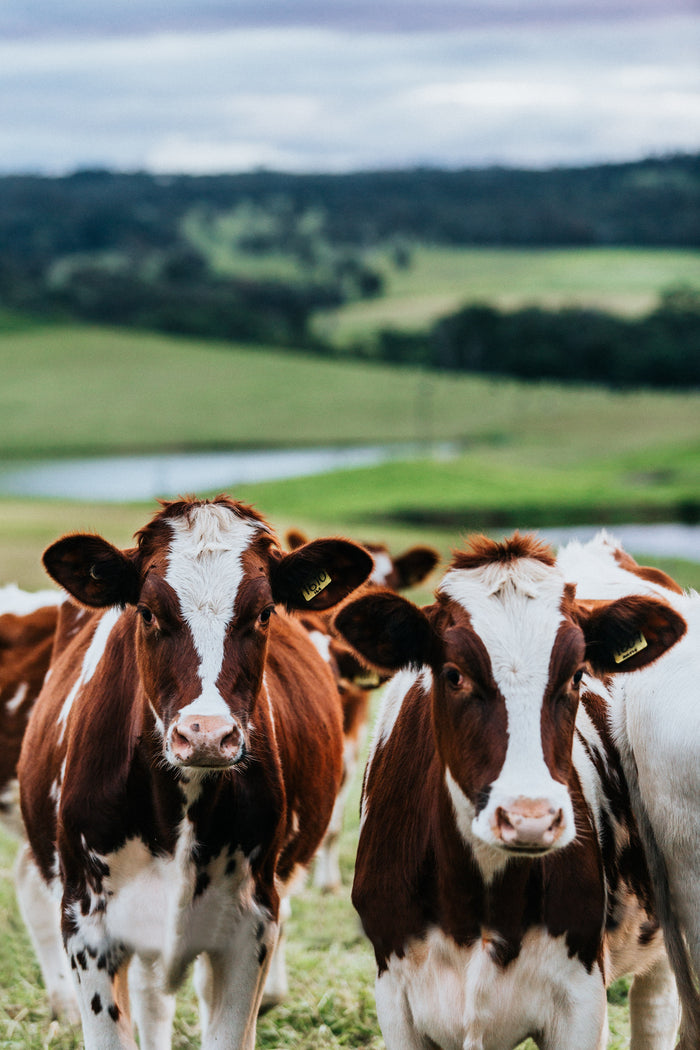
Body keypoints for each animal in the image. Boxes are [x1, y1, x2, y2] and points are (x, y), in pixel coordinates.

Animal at [16, 495, 375, 1045]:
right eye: (146, 612)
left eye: (264, 613)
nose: (205, 733)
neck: (176, 809)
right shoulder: (86, 924)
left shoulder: (252, 923)